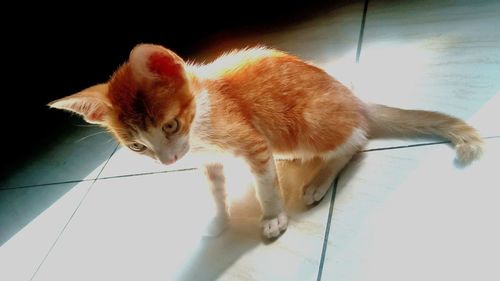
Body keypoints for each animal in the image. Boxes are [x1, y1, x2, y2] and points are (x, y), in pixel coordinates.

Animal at [48, 43, 482, 238]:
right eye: (137, 146)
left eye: (169, 126)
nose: (168, 161)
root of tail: (355, 99)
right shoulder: (208, 159)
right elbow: (215, 187)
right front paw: (218, 218)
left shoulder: (250, 141)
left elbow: (264, 186)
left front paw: (272, 214)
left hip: (306, 122)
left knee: (355, 139)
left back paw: (318, 180)